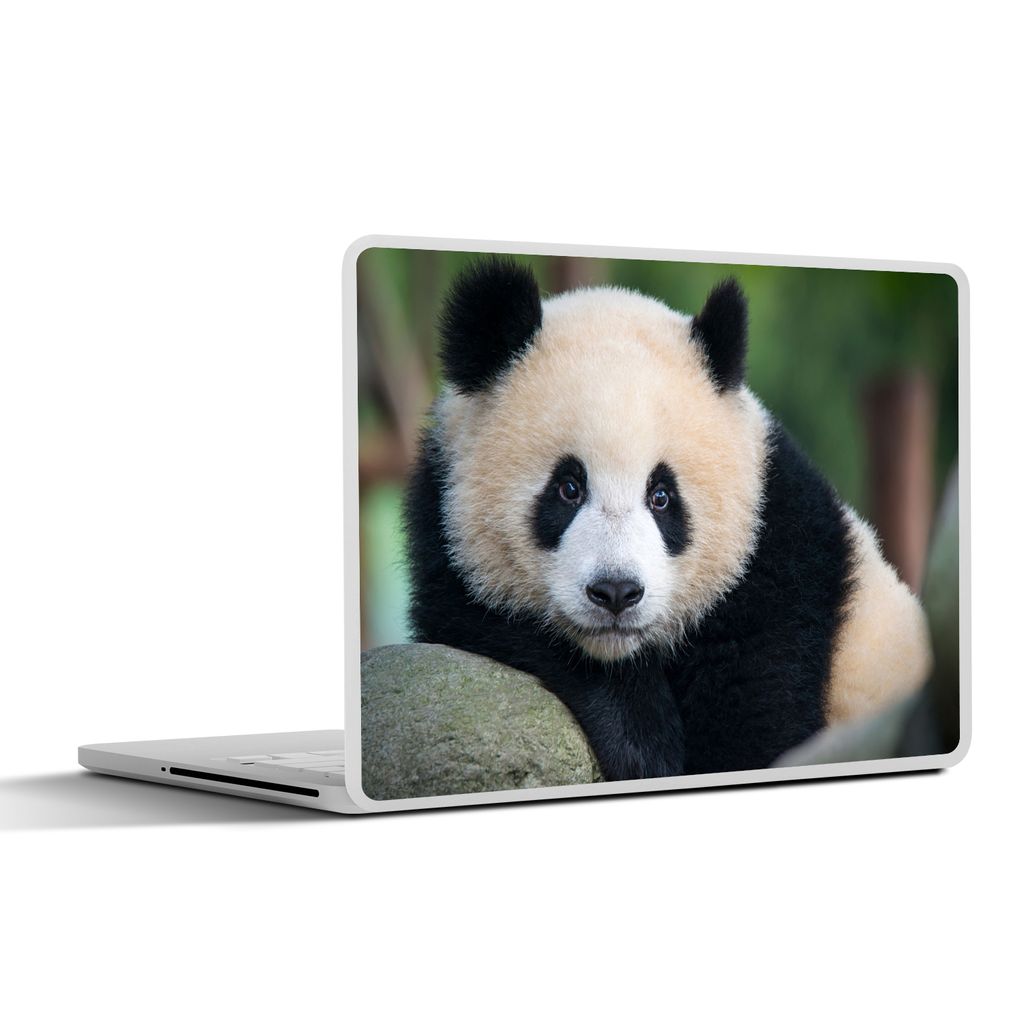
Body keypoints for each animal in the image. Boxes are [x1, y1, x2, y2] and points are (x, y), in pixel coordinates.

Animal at [403, 257, 933, 781]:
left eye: (661, 496)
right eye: (568, 488)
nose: (616, 592)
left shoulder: (780, 563)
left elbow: (757, 717)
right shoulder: (443, 534)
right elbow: (483, 617)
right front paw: (641, 738)